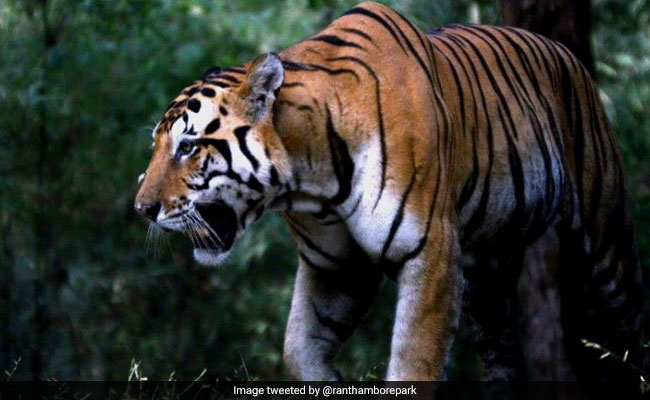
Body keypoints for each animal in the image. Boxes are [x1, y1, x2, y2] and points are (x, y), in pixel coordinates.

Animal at [134, 2, 644, 381]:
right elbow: (299, 350)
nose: (142, 208)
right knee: (503, 359)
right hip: (487, 277)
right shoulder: (334, 266)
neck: (310, 180)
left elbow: (413, 364)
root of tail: (565, 51)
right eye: (157, 144)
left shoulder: (430, 255)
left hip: (604, 242)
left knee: (629, 329)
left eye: (187, 146)